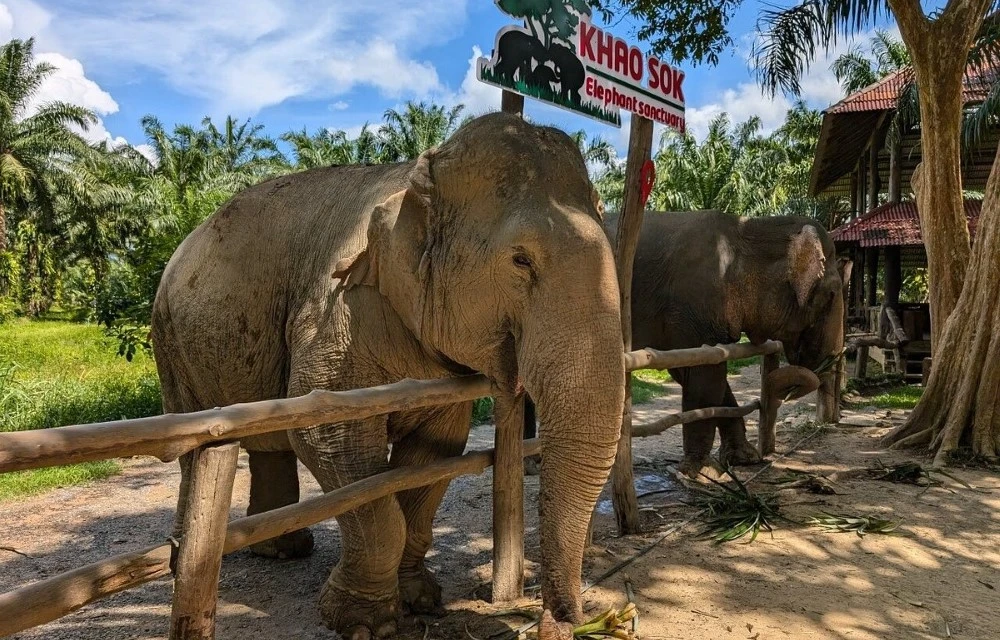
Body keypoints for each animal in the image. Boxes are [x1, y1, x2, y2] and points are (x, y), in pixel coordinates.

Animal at [151, 113, 626, 639]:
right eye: (521, 260)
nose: (562, 622)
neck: (415, 175)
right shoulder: (336, 313)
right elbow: (327, 439)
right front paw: (365, 623)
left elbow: (436, 453)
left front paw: (421, 600)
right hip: (171, 343)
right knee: (194, 443)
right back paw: (188, 558)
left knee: (267, 443)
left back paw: (282, 550)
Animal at [524, 210, 845, 478]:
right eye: (830, 295)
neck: (746, 229)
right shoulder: (691, 307)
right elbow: (702, 378)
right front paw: (702, 473)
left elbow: (709, 377)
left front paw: (743, 459)